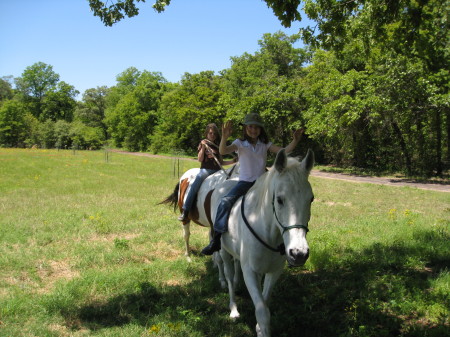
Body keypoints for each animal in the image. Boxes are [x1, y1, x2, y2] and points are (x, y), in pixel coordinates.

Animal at [216, 148, 314, 334]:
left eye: (311, 199)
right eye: (280, 199)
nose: (299, 253)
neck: (268, 233)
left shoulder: (274, 271)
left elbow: (264, 301)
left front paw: (259, 328)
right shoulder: (249, 271)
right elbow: (262, 312)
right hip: (224, 251)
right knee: (229, 275)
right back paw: (233, 308)